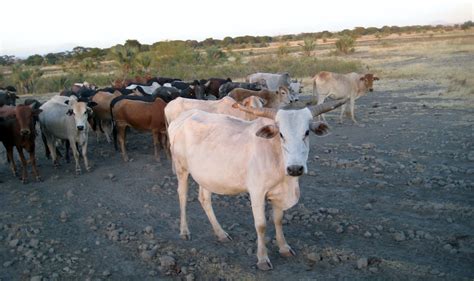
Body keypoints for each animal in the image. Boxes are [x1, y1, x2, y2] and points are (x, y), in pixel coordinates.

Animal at [168, 98, 346, 270]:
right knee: (182, 196)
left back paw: (221, 233)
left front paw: (284, 248)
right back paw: (184, 231)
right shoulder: (257, 192)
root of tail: (183, 118)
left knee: (204, 199)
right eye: (281, 134)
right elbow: (261, 225)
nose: (295, 168)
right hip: (181, 168)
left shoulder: (278, 194)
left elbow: (278, 220)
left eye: (307, 132)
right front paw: (262, 259)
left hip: (206, 176)